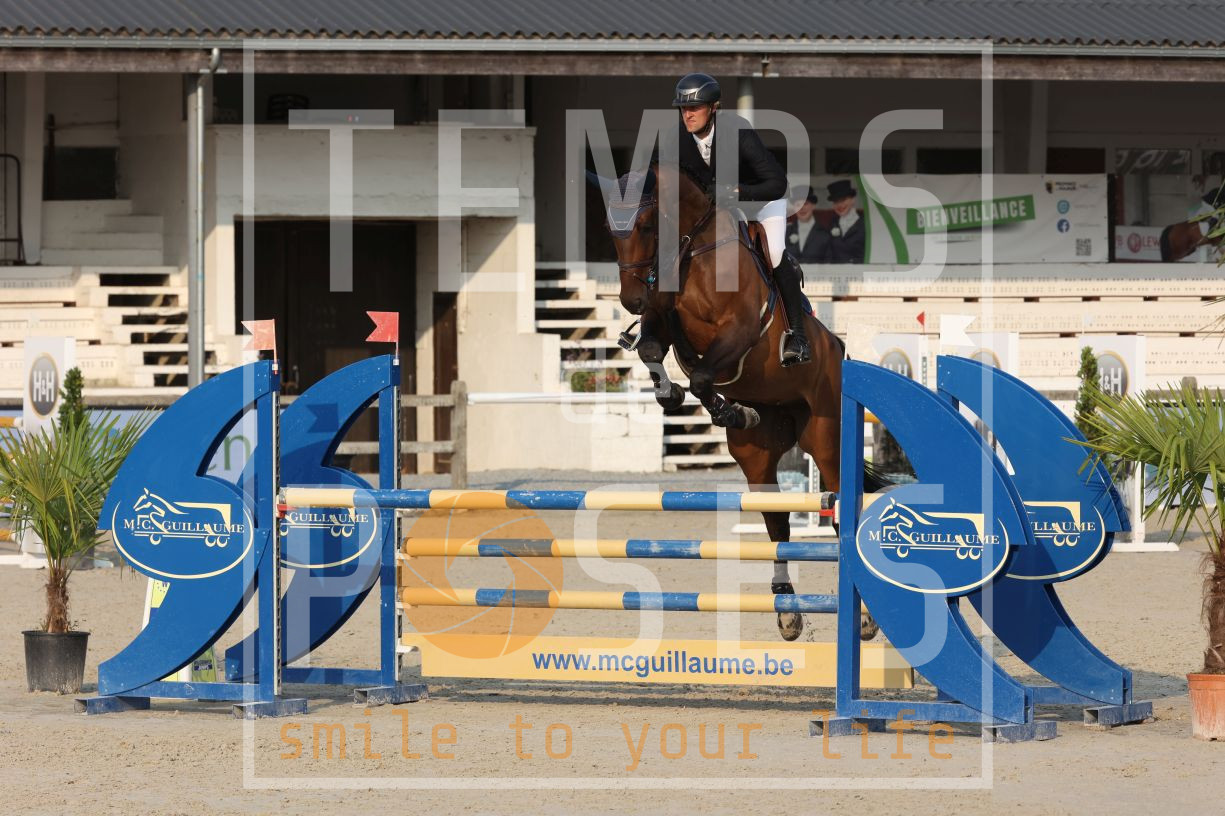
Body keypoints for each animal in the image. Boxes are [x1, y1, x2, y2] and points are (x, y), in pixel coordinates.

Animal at [598, 162, 880, 641]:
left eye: (647, 224)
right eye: (609, 231)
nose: (630, 300)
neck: (691, 250)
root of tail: (837, 348)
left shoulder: (740, 330)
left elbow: (702, 375)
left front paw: (728, 408)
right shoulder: (663, 320)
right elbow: (654, 351)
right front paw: (677, 395)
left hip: (826, 438)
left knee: (841, 510)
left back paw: (862, 618)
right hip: (758, 455)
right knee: (777, 521)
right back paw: (787, 612)